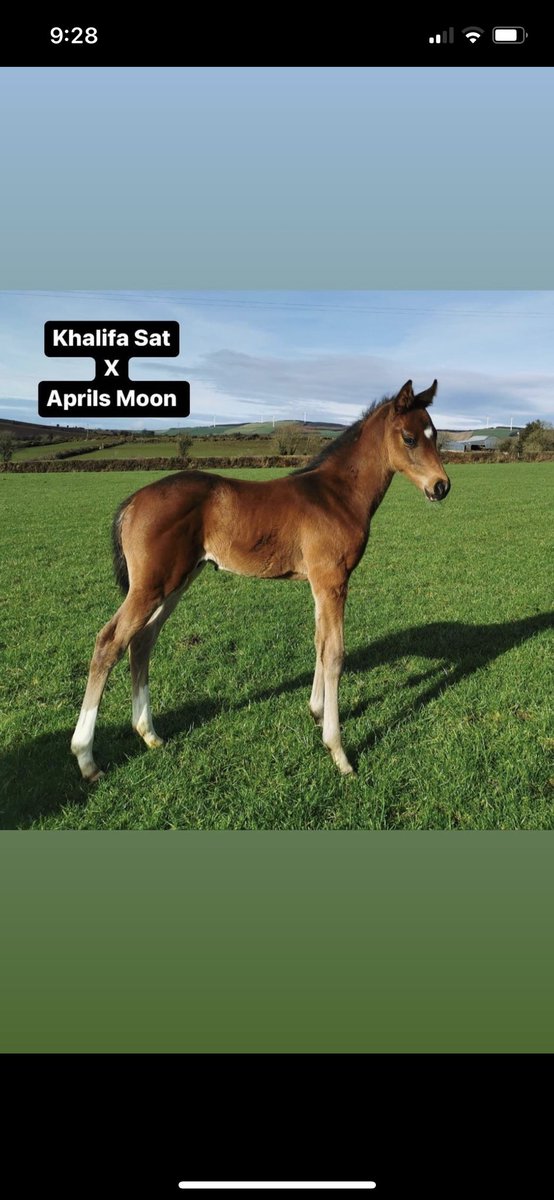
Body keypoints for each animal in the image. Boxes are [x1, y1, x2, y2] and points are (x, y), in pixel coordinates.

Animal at [71, 379, 450, 782]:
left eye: (435, 435)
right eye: (409, 438)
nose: (441, 487)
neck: (337, 496)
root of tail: (131, 502)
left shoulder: (320, 584)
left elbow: (319, 642)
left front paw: (317, 713)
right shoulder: (332, 580)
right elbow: (334, 654)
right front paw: (338, 751)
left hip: (175, 583)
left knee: (142, 642)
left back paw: (149, 734)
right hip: (150, 587)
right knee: (109, 642)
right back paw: (86, 758)